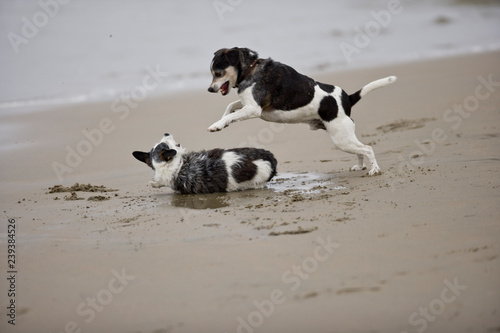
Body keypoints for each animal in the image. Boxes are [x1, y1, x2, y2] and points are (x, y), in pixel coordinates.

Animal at [133, 133, 278, 195]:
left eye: (163, 142)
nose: (166, 133)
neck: (178, 165)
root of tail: (269, 159)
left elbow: (159, 182)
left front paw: (154, 183)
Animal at [206, 48, 394, 176]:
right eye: (212, 73)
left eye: (218, 73)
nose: (209, 89)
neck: (250, 69)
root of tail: (347, 98)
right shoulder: (248, 104)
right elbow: (230, 107)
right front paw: (222, 122)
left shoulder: (254, 109)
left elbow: (232, 112)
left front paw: (218, 124)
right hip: (344, 138)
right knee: (360, 150)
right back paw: (360, 166)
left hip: (341, 138)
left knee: (367, 148)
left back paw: (375, 169)